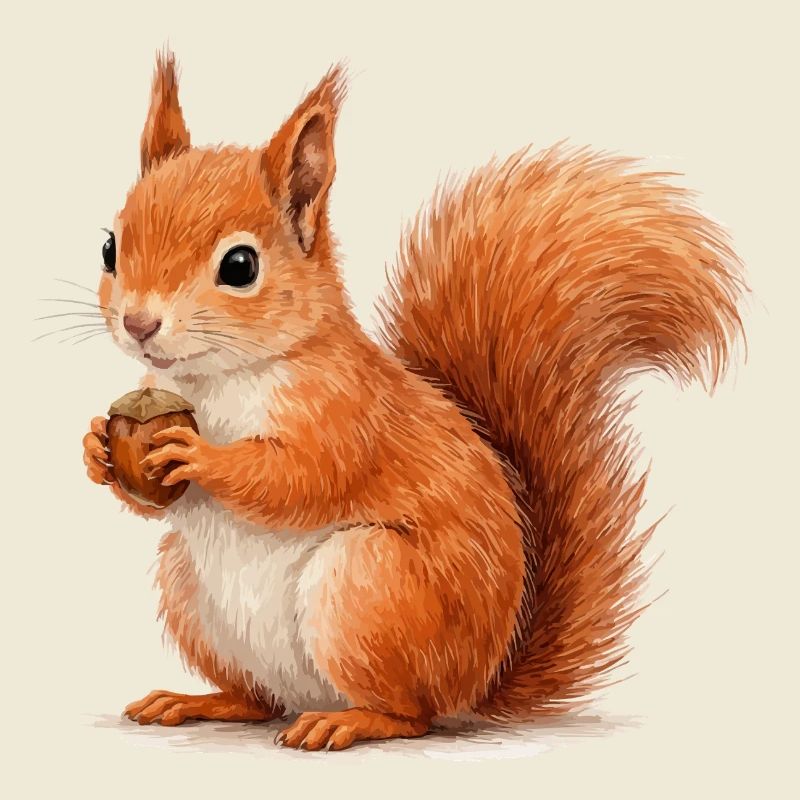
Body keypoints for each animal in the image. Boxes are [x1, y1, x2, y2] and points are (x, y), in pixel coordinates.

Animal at [82, 52, 744, 751]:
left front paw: (199, 455)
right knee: (258, 700)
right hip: (189, 590)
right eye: (110, 247)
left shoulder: (348, 411)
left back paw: (348, 720)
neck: (216, 380)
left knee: (411, 714)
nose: (139, 324)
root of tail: (476, 685)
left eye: (240, 265)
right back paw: (199, 700)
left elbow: (300, 478)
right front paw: (97, 447)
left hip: (370, 587)